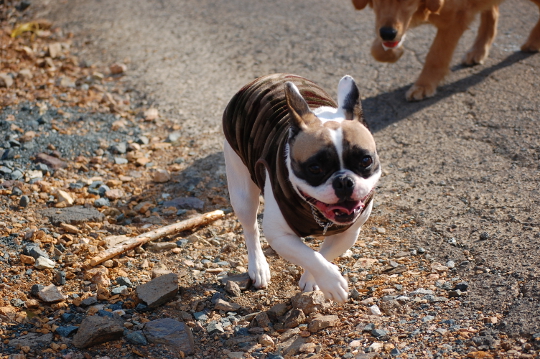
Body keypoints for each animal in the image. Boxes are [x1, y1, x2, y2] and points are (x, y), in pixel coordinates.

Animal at [221, 74, 382, 304]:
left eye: (365, 160)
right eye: (315, 168)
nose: (344, 181)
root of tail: (265, 77)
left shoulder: (348, 233)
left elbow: (322, 254)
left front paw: (312, 279)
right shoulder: (280, 236)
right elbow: (309, 256)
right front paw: (332, 282)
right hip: (241, 187)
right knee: (250, 228)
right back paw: (258, 266)